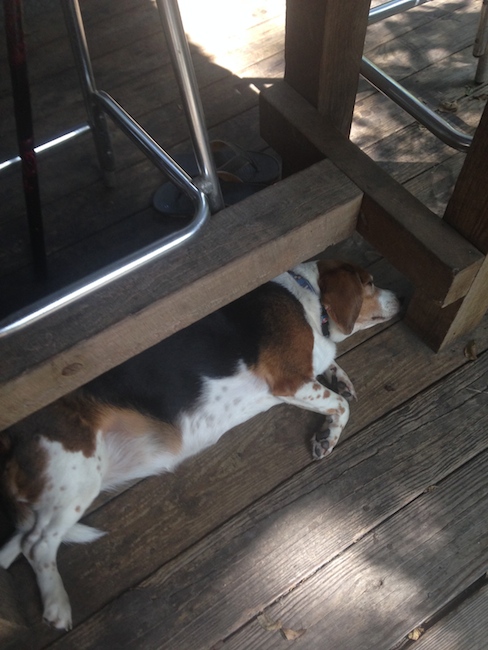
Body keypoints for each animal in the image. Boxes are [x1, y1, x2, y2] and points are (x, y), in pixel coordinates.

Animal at [0, 259, 400, 630]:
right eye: (369, 283)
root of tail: (13, 434)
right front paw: (329, 433)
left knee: (21, 538)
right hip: (77, 476)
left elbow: (334, 374)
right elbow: (340, 404)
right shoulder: (291, 382)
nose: (401, 297)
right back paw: (57, 605)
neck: (309, 298)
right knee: (36, 544)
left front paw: (339, 384)